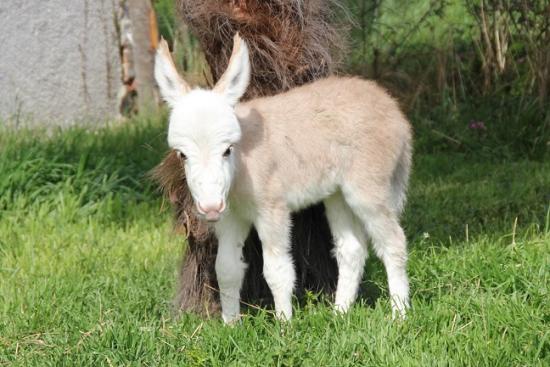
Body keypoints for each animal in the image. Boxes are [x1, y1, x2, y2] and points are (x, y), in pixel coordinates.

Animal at [155, 33, 414, 324]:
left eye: (227, 149)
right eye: (182, 155)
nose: (210, 207)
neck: (242, 165)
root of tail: (392, 108)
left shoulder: (273, 209)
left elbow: (276, 270)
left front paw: (284, 324)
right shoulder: (231, 217)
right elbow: (226, 269)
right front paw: (231, 324)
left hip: (367, 189)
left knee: (393, 243)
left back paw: (400, 315)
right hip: (338, 193)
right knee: (351, 249)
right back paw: (340, 313)